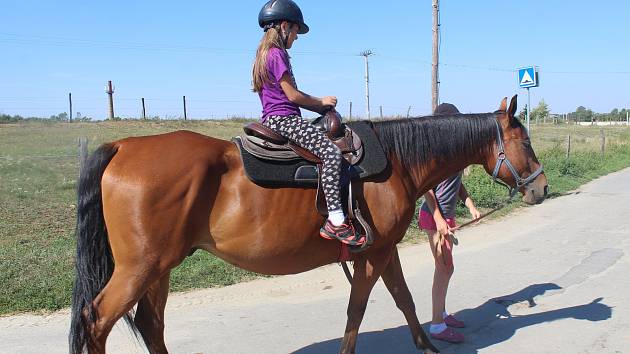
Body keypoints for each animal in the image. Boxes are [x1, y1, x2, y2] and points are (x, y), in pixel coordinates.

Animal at [69, 95, 548, 352]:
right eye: (524, 141)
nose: (541, 188)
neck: (397, 160)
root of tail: (124, 146)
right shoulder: (373, 252)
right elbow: (358, 309)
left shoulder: (384, 249)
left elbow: (405, 300)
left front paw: (427, 345)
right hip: (139, 268)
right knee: (97, 319)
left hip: (159, 269)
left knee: (151, 325)